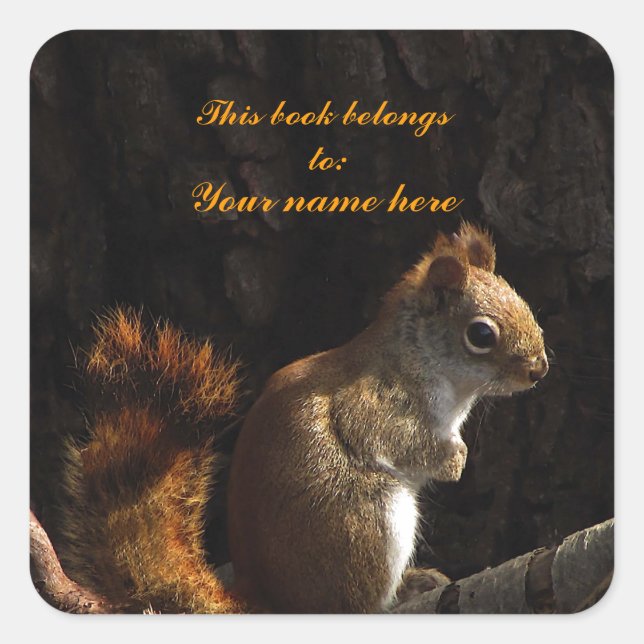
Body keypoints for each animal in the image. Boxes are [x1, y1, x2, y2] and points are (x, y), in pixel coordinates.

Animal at [58, 222, 548, 614]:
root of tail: (269, 600)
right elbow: (396, 440)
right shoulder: (375, 403)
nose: (539, 370)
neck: (424, 361)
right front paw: (454, 460)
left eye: (523, 300)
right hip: (367, 523)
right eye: (480, 335)